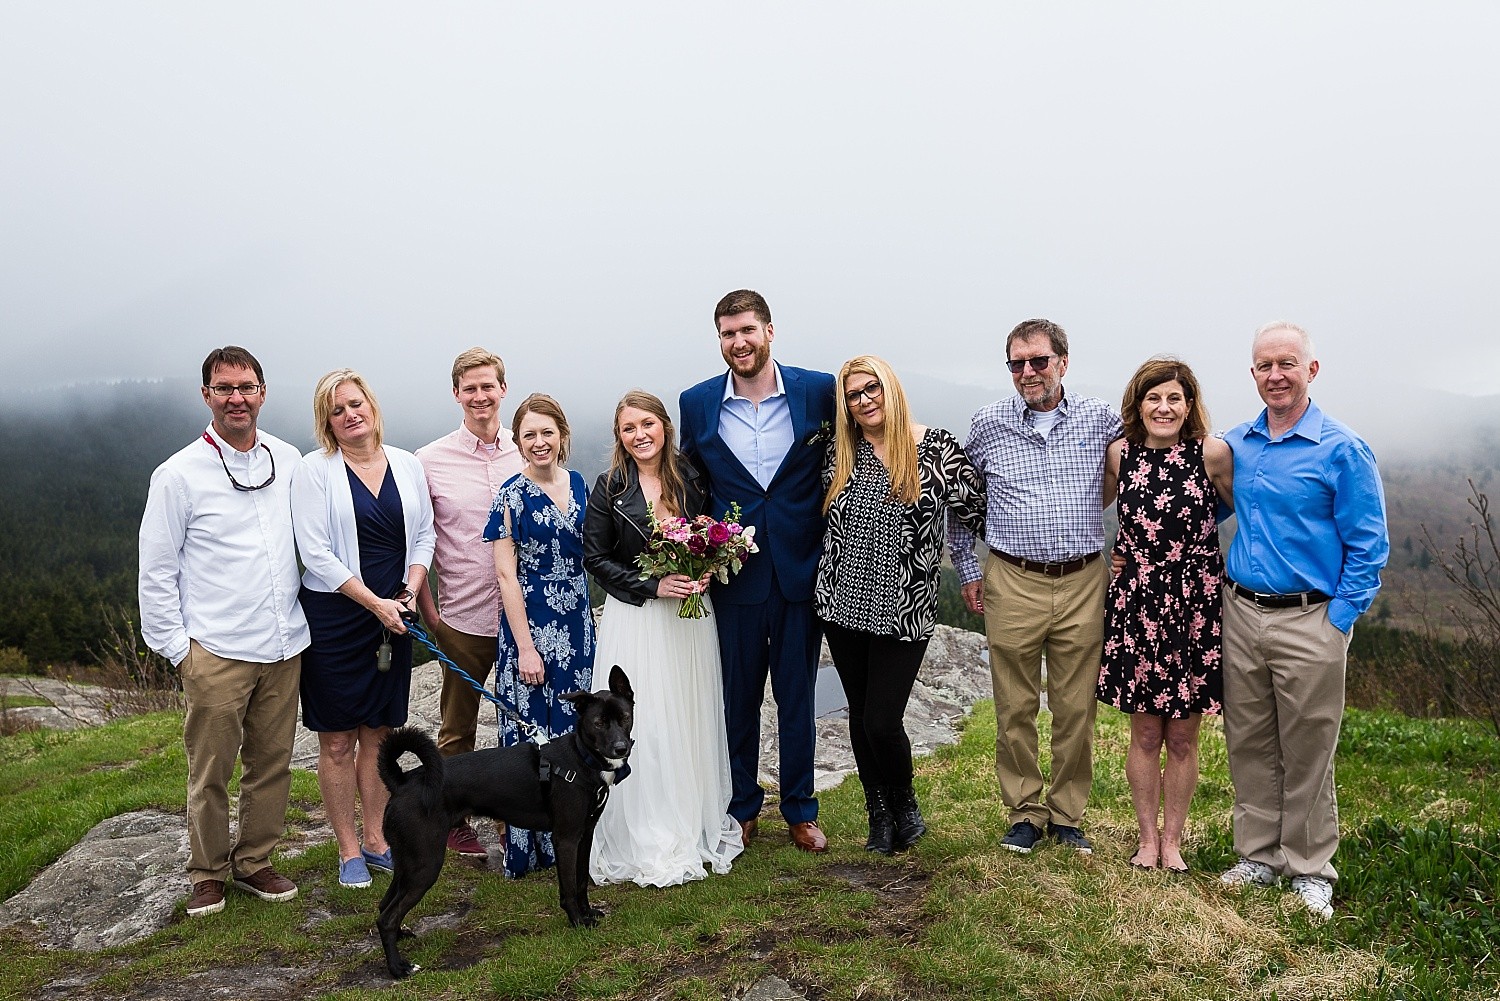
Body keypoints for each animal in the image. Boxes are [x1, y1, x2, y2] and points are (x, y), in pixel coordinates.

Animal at [378, 666, 636, 978]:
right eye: (598, 723)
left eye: (625, 717)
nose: (621, 748)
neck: (581, 760)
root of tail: (403, 782)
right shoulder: (565, 839)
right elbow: (569, 888)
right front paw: (577, 922)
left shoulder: (584, 835)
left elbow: (582, 881)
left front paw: (588, 913)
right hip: (425, 865)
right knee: (387, 917)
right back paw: (397, 968)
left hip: (408, 862)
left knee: (383, 907)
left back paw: (401, 936)